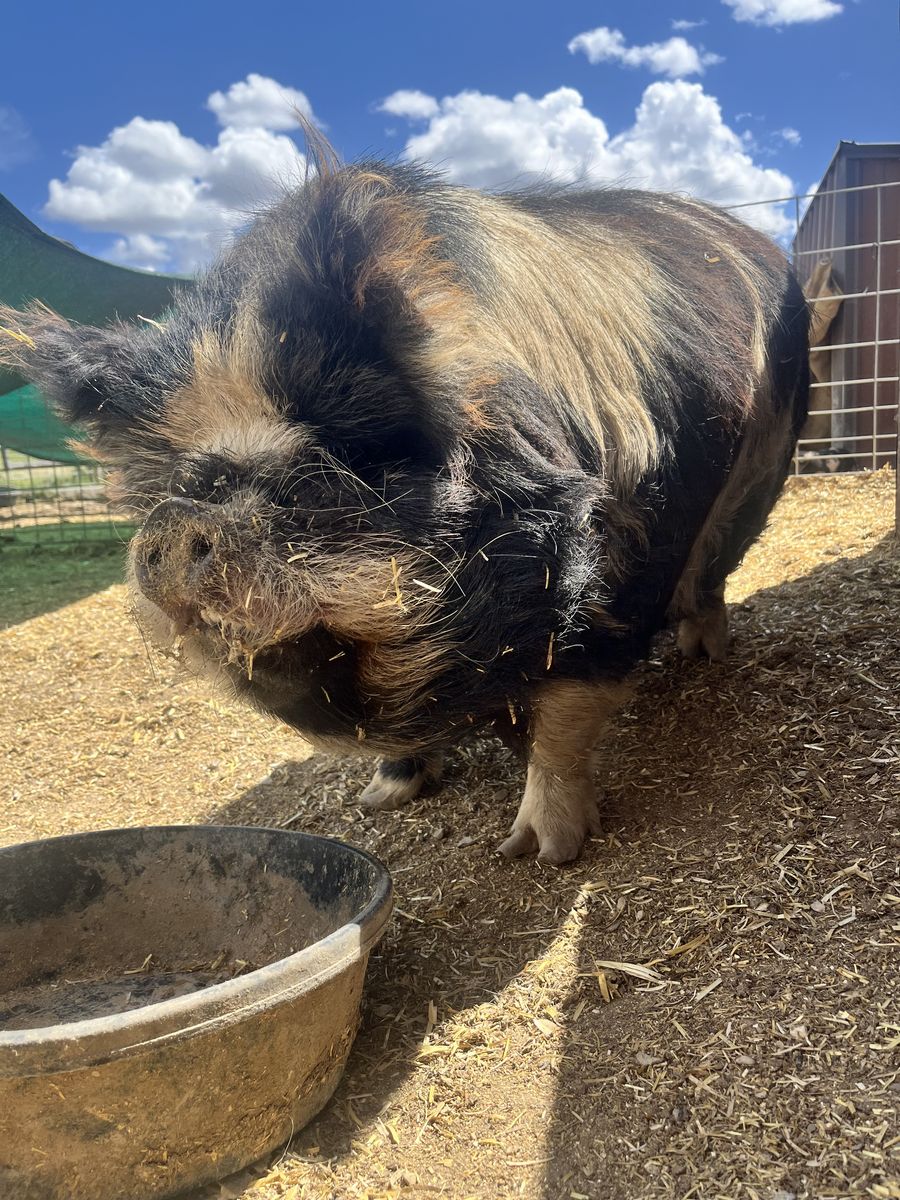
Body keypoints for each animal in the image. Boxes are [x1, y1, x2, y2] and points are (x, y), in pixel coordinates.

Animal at [0, 139, 809, 863]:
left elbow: (567, 716)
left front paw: (537, 853)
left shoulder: (619, 570)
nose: (175, 524)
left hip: (758, 474)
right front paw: (381, 798)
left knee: (711, 574)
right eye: (183, 484)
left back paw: (704, 654)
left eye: (332, 467)